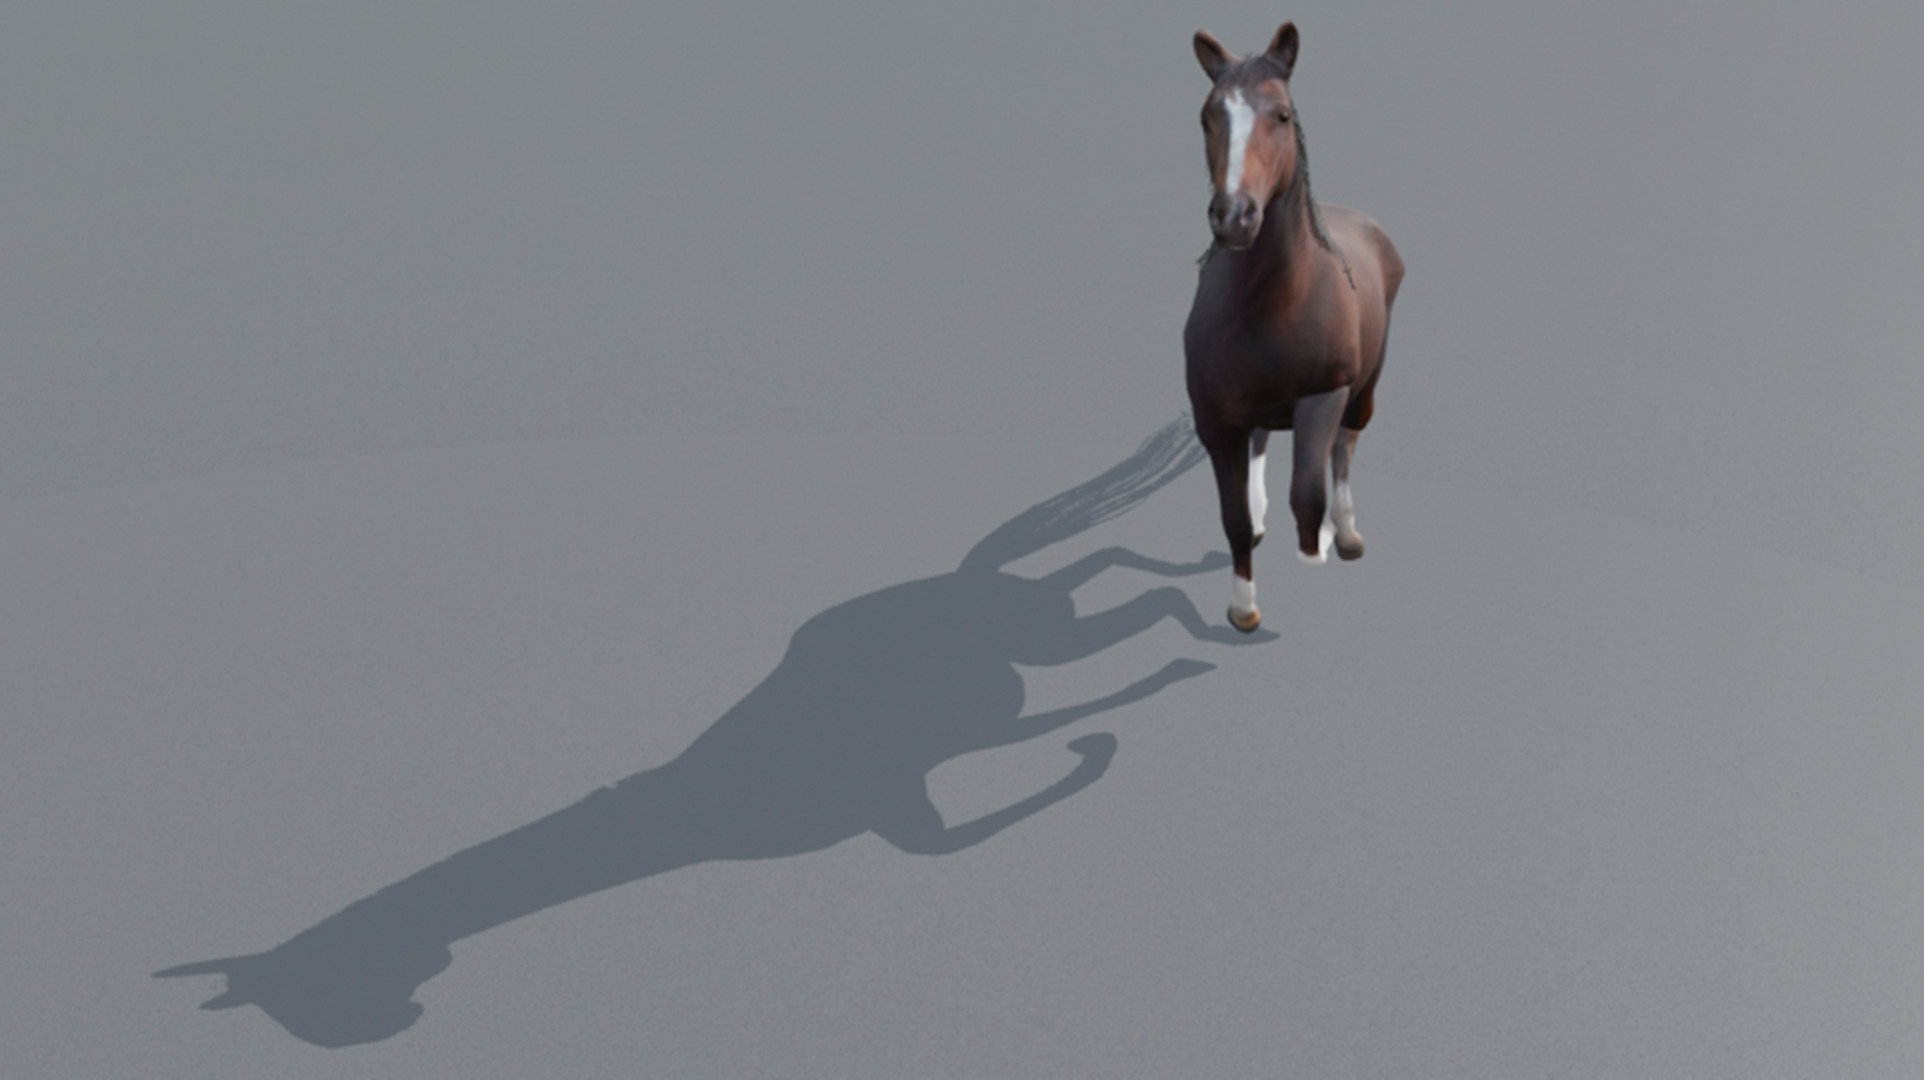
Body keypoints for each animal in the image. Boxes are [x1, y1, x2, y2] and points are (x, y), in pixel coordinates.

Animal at [1183, 21, 1404, 633]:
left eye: (1281, 115)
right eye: (1207, 116)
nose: (1234, 218)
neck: (1272, 303)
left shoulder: (1323, 396)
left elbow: (1308, 495)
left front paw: (1318, 547)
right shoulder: (1214, 419)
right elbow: (1232, 516)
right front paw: (1243, 607)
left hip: (1365, 386)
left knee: (1346, 446)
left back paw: (1347, 535)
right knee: (1262, 441)